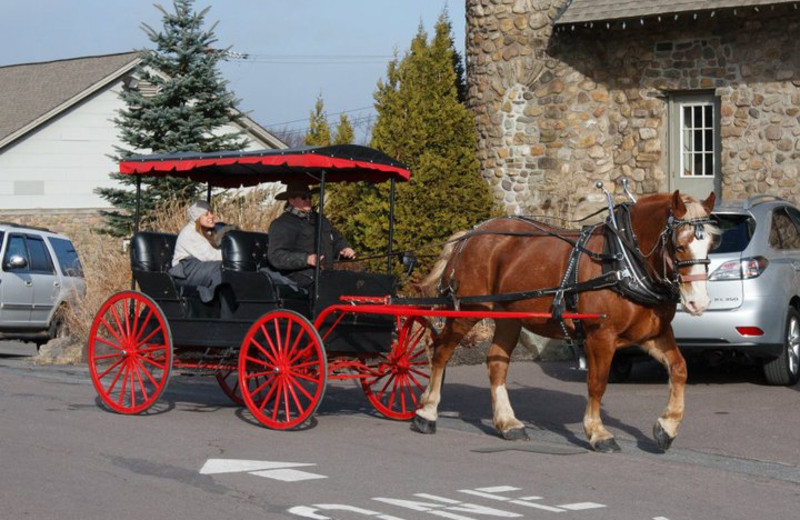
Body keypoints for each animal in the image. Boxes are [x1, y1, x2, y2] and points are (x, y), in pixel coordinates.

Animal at [416, 190, 716, 450]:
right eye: (679, 245)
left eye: (711, 246)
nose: (698, 303)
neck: (624, 261)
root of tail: (472, 233)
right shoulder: (600, 337)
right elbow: (597, 382)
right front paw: (598, 432)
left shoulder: (654, 334)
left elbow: (679, 369)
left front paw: (667, 427)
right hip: (468, 311)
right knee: (441, 351)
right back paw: (427, 412)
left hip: (509, 318)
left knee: (496, 363)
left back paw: (508, 423)